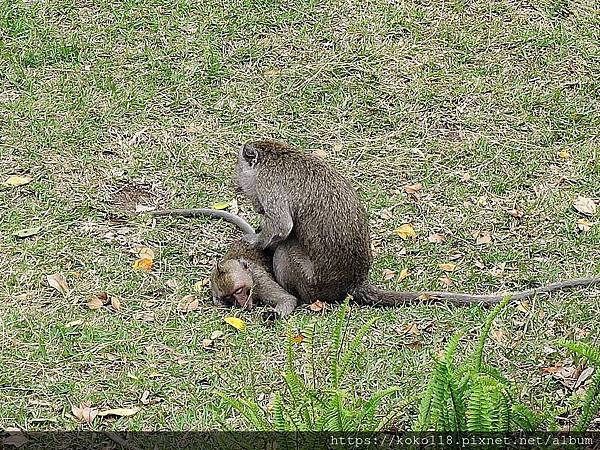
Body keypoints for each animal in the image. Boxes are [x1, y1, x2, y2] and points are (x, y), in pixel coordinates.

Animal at [232, 139, 600, 318]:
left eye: (241, 177)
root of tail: (353, 284)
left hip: (313, 283)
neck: (276, 155)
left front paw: (254, 237)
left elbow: (280, 229)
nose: (240, 191)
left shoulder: (269, 188)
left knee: (285, 249)